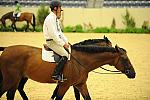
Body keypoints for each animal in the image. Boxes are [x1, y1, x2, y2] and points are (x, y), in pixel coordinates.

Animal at [0, 43, 136, 99]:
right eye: (124, 58)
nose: (133, 73)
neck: (81, 62)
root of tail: (6, 49)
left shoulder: (80, 84)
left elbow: (87, 98)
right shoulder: (64, 85)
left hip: (16, 80)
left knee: (11, 94)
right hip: (10, 80)